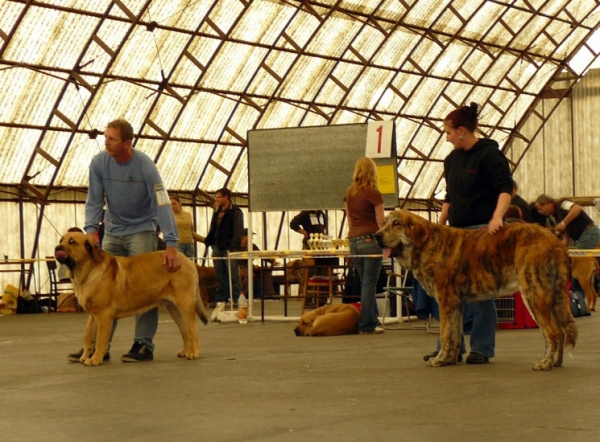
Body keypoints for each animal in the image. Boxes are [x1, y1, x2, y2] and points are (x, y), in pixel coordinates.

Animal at [54, 231, 209, 366]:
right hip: (173, 308)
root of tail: (187, 261)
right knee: (184, 330)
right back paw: (185, 351)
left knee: (192, 328)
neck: (88, 271)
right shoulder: (93, 315)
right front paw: (85, 355)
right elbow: (87, 335)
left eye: (72, 241)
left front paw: (95, 359)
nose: (57, 248)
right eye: (61, 240)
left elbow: (100, 339)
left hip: (185, 304)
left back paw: (193, 353)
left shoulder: (104, 315)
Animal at [378, 209, 580, 372]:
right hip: (553, 296)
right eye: (385, 223)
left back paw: (545, 363)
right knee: (561, 331)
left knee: (552, 333)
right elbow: (454, 334)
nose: (376, 235)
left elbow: (445, 333)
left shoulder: (445, 301)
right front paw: (449, 359)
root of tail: (556, 242)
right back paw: (556, 362)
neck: (426, 244)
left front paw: (439, 359)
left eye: (396, 223)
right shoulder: (456, 305)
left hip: (533, 293)